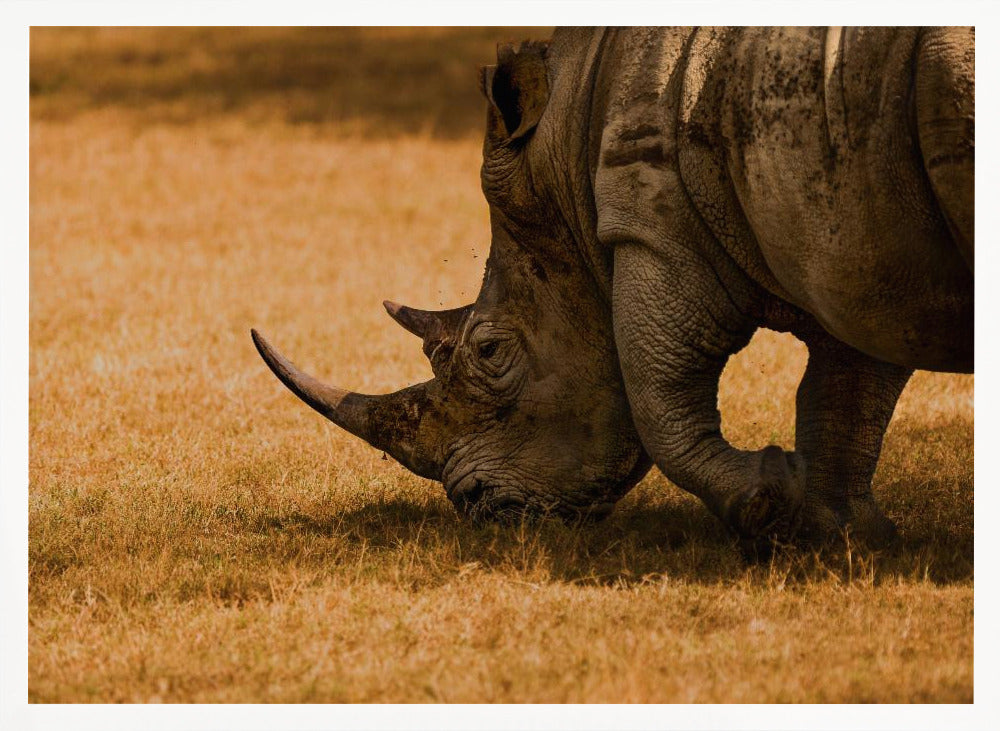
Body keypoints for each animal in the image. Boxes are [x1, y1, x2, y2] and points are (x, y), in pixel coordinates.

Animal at [252, 27, 973, 546]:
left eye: (489, 351)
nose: (477, 507)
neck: (564, 147)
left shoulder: (652, 224)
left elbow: (658, 392)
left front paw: (770, 506)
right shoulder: (851, 237)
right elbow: (847, 388)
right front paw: (841, 535)